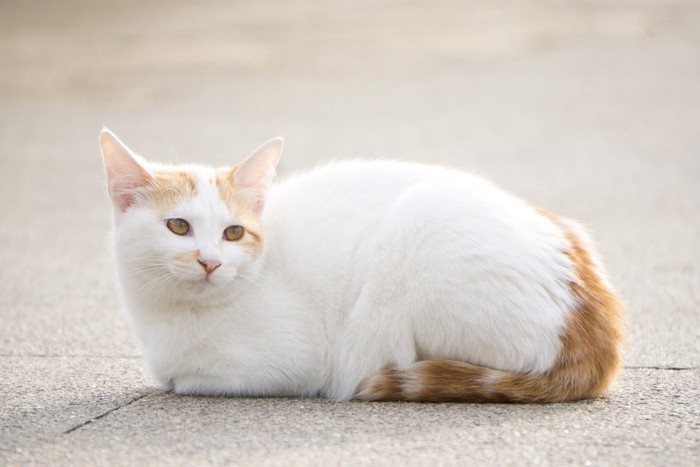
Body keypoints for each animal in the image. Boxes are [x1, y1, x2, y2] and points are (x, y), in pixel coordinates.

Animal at [98, 128, 624, 402]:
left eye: (233, 233)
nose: (209, 262)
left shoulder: (294, 362)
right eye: (178, 227)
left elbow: (186, 381)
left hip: (417, 238)